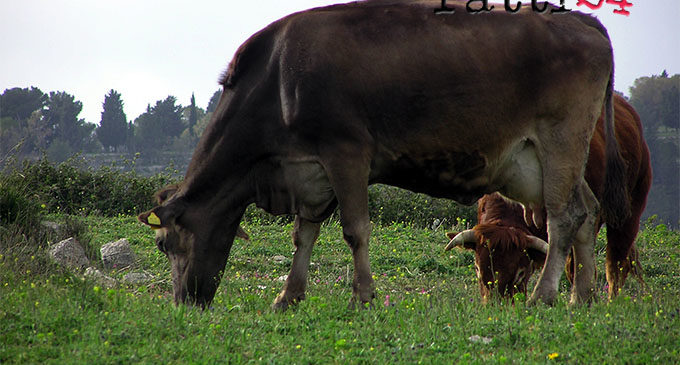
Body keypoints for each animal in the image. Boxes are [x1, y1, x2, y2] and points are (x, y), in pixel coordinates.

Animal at [138, 0, 628, 308]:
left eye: (163, 244)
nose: (184, 303)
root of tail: (581, 19)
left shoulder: (346, 153)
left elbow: (355, 230)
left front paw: (363, 296)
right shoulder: (308, 172)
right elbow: (303, 234)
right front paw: (288, 297)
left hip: (561, 138)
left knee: (563, 217)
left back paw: (544, 295)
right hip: (535, 162)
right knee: (587, 211)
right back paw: (580, 297)